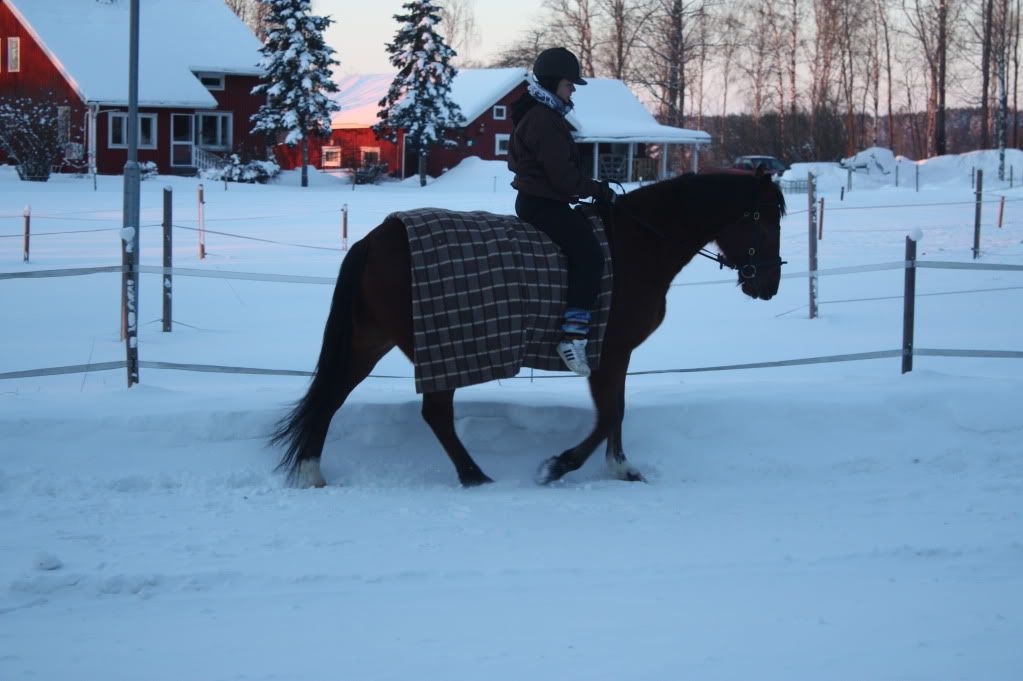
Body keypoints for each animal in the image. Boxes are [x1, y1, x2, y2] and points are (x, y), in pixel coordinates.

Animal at [271, 169, 786, 487]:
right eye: (764, 220)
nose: (770, 284)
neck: (637, 243)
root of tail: (378, 236)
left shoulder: (616, 354)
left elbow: (616, 414)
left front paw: (620, 468)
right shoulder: (608, 352)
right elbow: (609, 414)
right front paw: (559, 466)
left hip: (372, 339)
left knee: (332, 394)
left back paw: (314, 471)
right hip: (436, 344)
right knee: (434, 413)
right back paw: (475, 476)